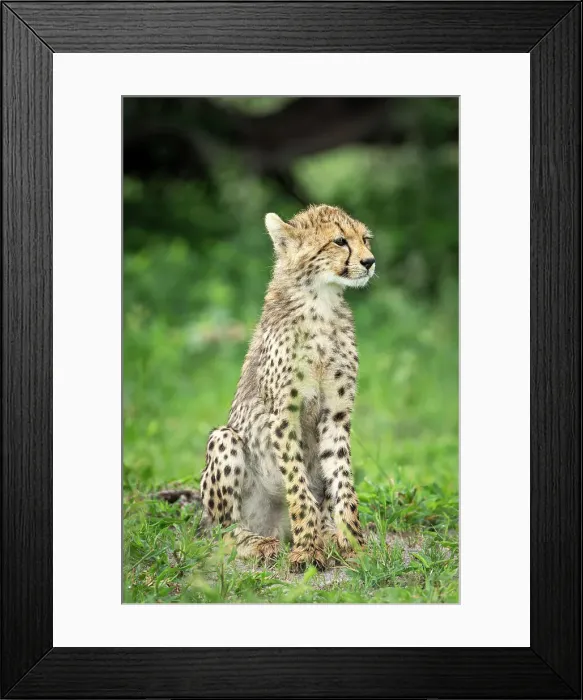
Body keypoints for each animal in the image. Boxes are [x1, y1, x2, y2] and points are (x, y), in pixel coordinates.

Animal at [200, 204, 376, 569]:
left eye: (365, 239)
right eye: (339, 241)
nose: (370, 261)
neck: (320, 302)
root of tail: (273, 527)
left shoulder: (336, 414)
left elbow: (343, 481)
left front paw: (353, 544)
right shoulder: (283, 414)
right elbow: (297, 483)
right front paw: (307, 549)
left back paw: (328, 534)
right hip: (224, 439)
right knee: (221, 532)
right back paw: (257, 543)